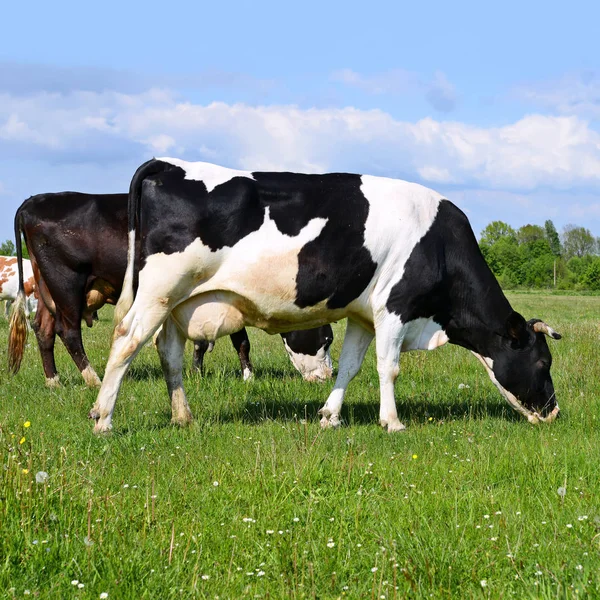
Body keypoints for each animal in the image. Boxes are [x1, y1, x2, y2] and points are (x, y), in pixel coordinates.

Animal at [7, 195, 332, 386]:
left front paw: (197, 372)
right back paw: (94, 380)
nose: (328, 376)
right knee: (69, 331)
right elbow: (241, 341)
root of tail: (34, 202)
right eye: (327, 338)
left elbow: (203, 341)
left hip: (49, 289)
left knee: (44, 330)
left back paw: (53, 381)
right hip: (67, 282)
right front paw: (248, 377)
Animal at [85, 157, 564, 434]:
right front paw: (392, 422)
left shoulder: (364, 314)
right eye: (543, 362)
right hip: (158, 292)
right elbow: (389, 368)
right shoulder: (395, 307)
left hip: (176, 302)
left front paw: (330, 416)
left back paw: (182, 417)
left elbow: (350, 367)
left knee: (168, 352)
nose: (554, 412)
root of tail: (168, 163)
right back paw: (103, 418)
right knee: (126, 341)